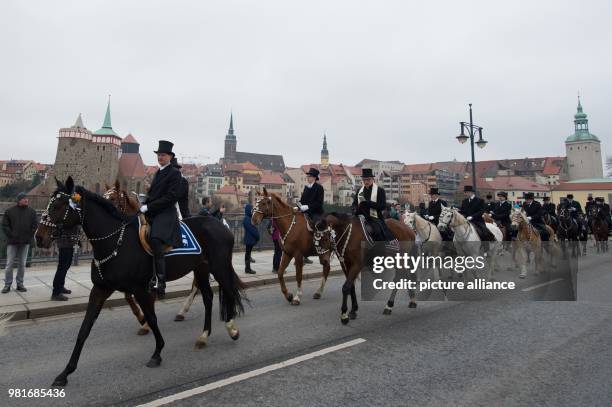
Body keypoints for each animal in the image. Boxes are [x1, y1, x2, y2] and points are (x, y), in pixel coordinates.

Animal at [35, 177, 244, 388]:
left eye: (59, 206)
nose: (39, 236)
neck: (117, 241)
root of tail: (221, 225)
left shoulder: (141, 289)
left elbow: (152, 318)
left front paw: (157, 352)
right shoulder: (101, 289)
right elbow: (84, 329)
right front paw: (65, 372)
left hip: (219, 267)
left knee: (228, 291)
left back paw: (231, 328)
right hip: (201, 268)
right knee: (208, 297)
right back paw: (203, 335)